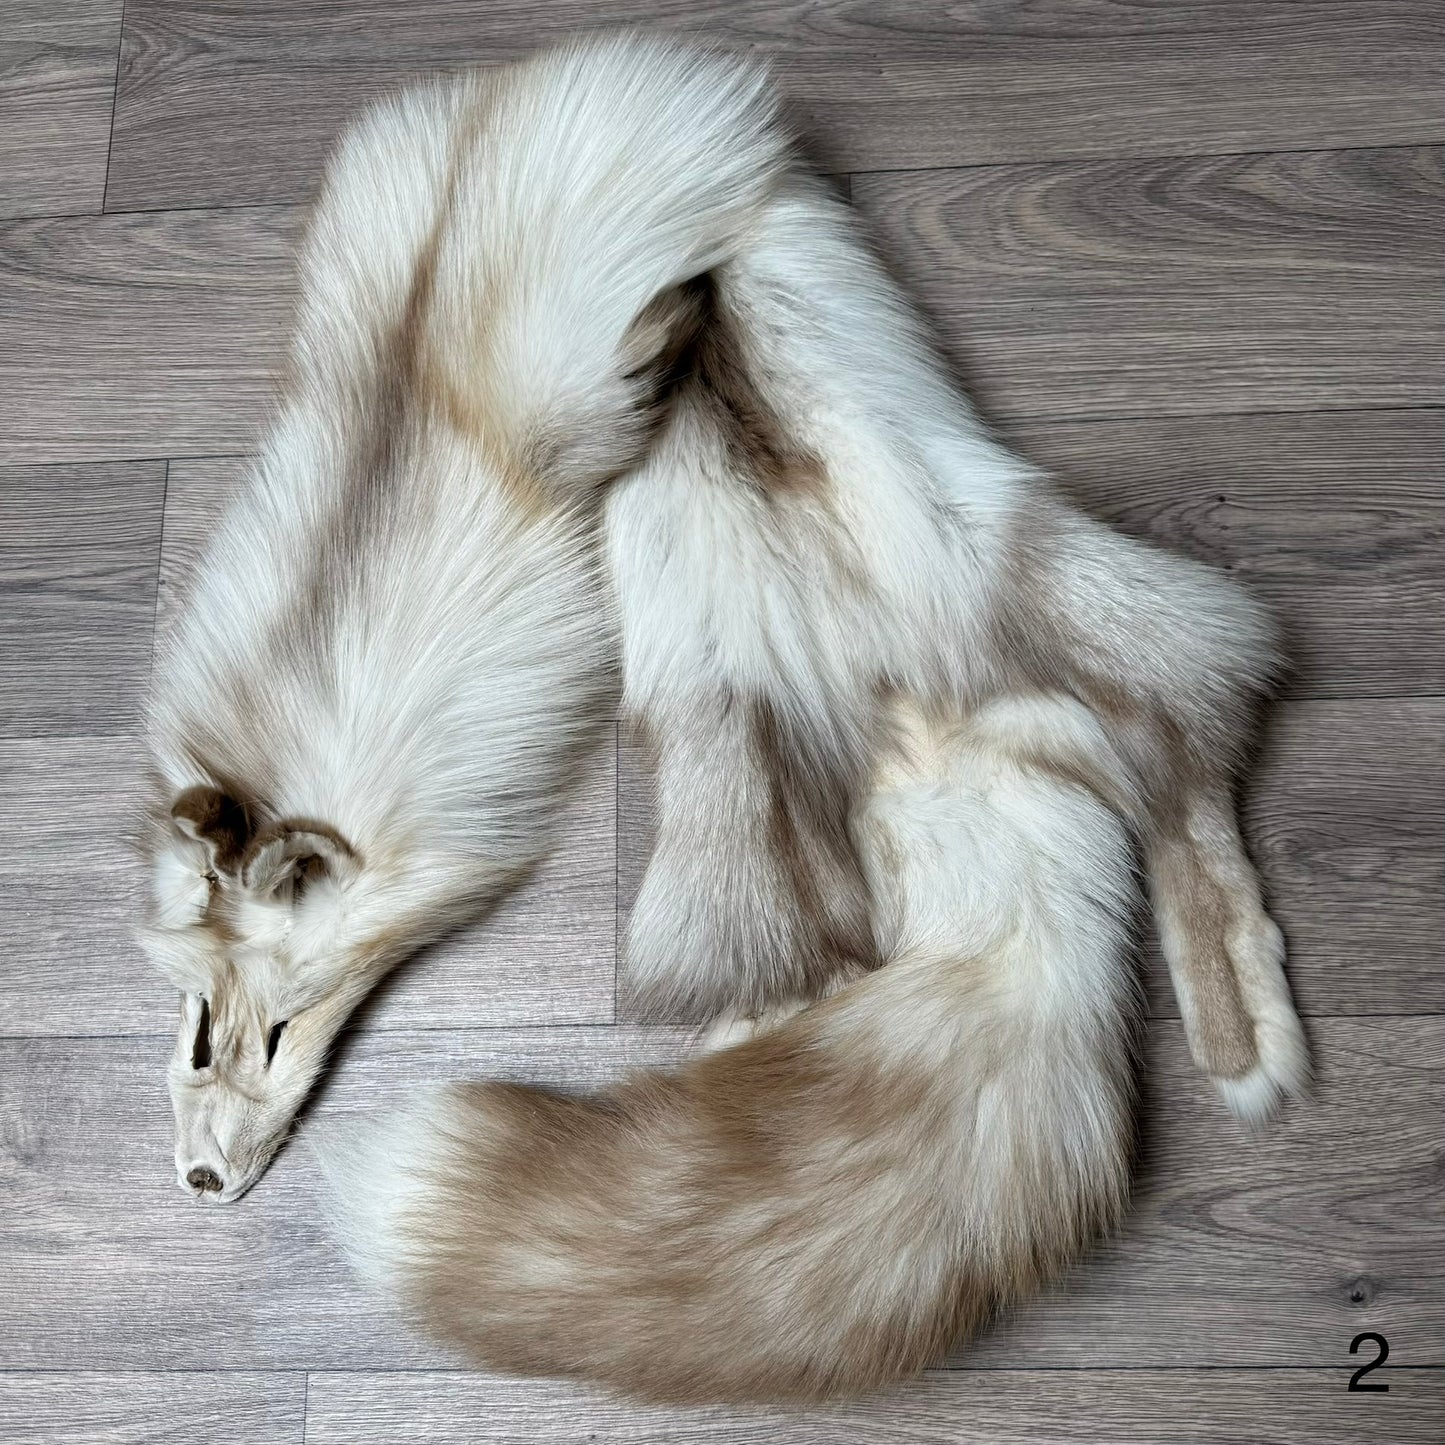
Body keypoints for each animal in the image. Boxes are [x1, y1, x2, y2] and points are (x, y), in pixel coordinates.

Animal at [315, 113, 1308, 1399]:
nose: (693, 300)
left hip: (867, 690)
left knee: (1190, 729)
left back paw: (1240, 1035)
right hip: (919, 681)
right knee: (1176, 763)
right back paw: (1240, 1025)